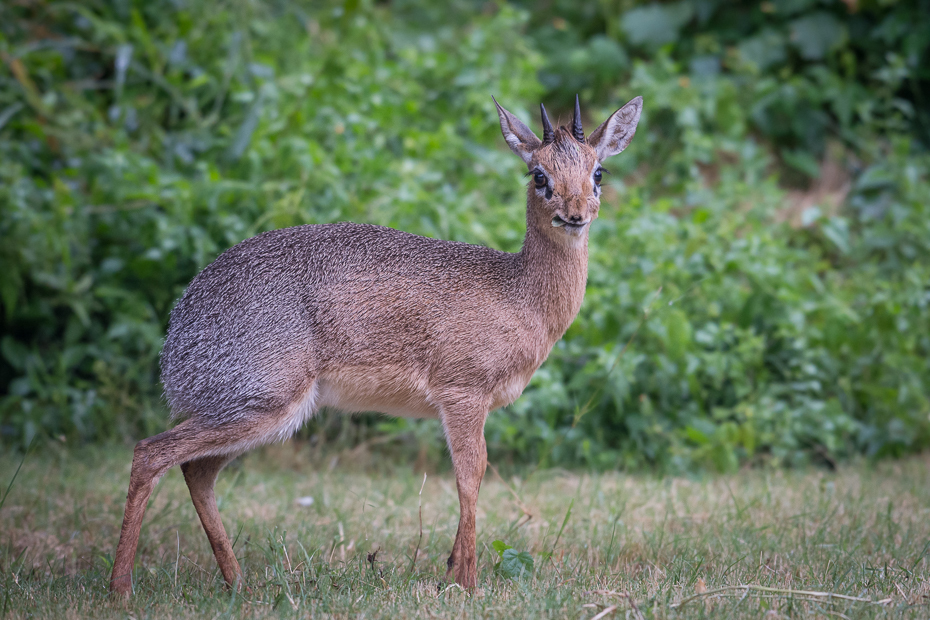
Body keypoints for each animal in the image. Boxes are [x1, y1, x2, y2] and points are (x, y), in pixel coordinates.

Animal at [110, 94, 640, 592]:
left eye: (598, 171)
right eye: (539, 175)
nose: (574, 214)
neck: (520, 293)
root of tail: (179, 334)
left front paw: (451, 572)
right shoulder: (463, 394)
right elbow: (471, 476)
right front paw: (466, 584)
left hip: (255, 412)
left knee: (196, 471)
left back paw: (237, 583)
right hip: (262, 402)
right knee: (150, 453)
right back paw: (121, 590)